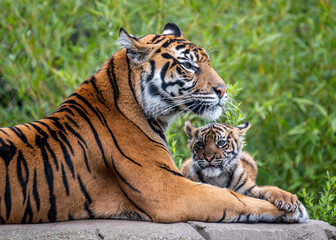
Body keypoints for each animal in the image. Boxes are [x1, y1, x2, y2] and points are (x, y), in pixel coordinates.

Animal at [0, 23, 308, 223]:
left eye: (208, 61)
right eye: (189, 65)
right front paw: (292, 211)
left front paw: (287, 199)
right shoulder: (170, 190)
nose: (223, 90)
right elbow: (232, 198)